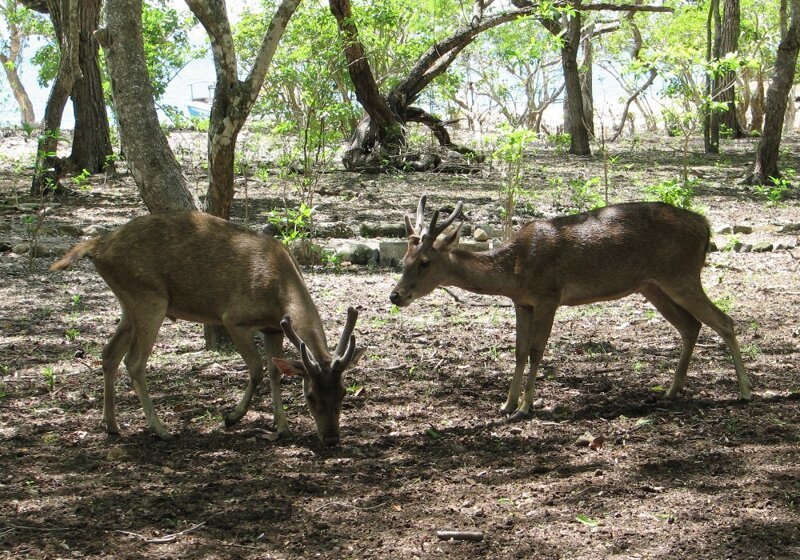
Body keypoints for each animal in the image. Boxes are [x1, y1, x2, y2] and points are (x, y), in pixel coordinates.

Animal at [54, 211, 368, 446]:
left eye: (343, 392)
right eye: (311, 396)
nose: (331, 438)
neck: (278, 291)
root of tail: (98, 245)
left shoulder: (274, 329)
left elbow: (274, 371)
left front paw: (282, 426)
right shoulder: (234, 318)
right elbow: (256, 369)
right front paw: (232, 416)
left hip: (128, 303)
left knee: (109, 354)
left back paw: (111, 424)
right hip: (148, 298)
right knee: (134, 361)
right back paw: (160, 429)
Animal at [390, 197, 752, 420]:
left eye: (425, 262)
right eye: (403, 258)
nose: (396, 295)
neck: (515, 270)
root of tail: (705, 227)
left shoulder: (549, 296)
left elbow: (536, 350)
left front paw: (525, 407)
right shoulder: (522, 302)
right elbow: (519, 351)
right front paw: (506, 404)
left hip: (681, 275)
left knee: (725, 321)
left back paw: (746, 392)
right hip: (653, 285)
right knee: (691, 325)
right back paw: (671, 391)